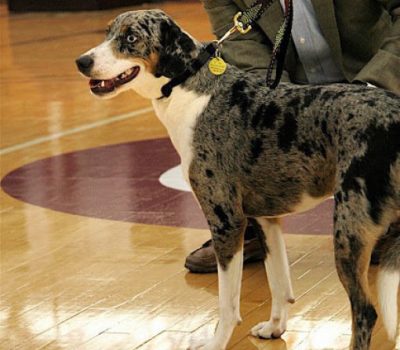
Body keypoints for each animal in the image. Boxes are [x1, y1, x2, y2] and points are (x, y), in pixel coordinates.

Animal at [76, 9, 400, 348]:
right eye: (108, 33)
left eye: (131, 37)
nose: (82, 62)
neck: (187, 87)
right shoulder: (266, 219)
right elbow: (279, 284)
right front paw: (275, 328)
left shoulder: (226, 221)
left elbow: (228, 304)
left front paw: (215, 342)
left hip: (349, 231)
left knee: (366, 312)